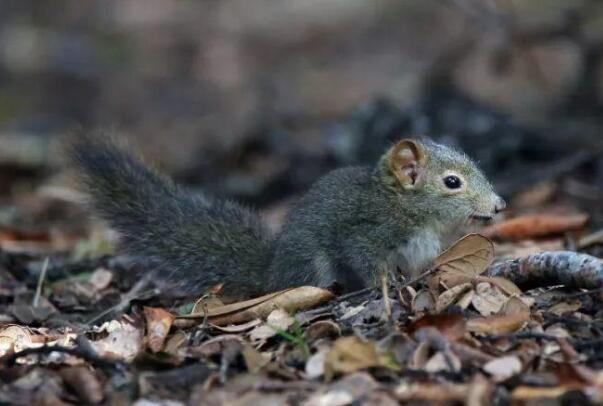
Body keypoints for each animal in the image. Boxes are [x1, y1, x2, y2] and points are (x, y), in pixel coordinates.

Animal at [69, 135, 504, 300]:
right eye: (452, 182)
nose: (500, 206)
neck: (406, 207)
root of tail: (271, 273)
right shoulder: (367, 231)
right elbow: (366, 258)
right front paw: (387, 285)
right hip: (310, 263)